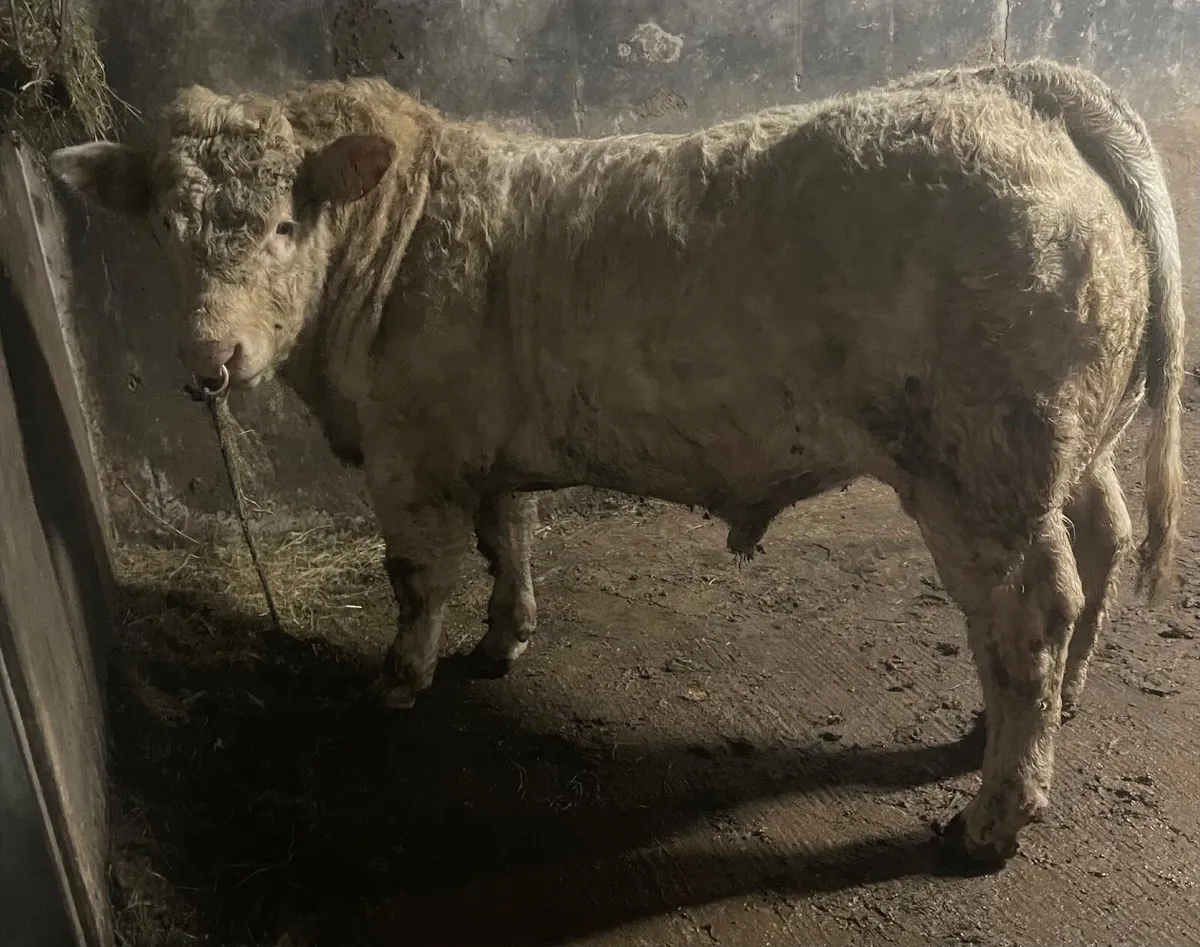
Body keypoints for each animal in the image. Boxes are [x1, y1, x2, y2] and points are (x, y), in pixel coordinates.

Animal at [50, 58, 1184, 867]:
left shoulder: (411, 455)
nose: (210, 363)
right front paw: (503, 639)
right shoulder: (482, 450)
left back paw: (993, 809)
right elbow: (507, 536)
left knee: (1029, 613)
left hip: (981, 473)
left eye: (286, 223)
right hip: (1071, 446)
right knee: (1100, 542)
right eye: (165, 233)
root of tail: (1017, 84)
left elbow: (416, 576)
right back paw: (1044, 712)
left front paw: (400, 677)